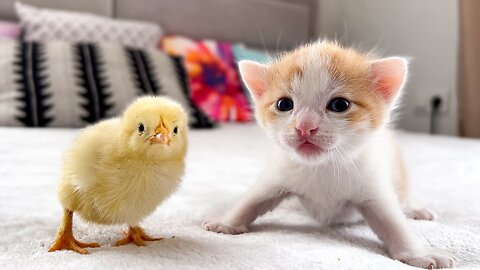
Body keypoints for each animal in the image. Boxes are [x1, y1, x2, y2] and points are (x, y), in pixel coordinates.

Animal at [204, 41, 456, 268]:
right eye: (284, 104)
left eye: (339, 105)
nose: (304, 127)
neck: (322, 166)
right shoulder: (279, 173)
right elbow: (253, 200)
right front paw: (226, 223)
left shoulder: (371, 182)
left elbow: (392, 221)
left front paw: (419, 254)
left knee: (402, 197)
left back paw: (415, 209)